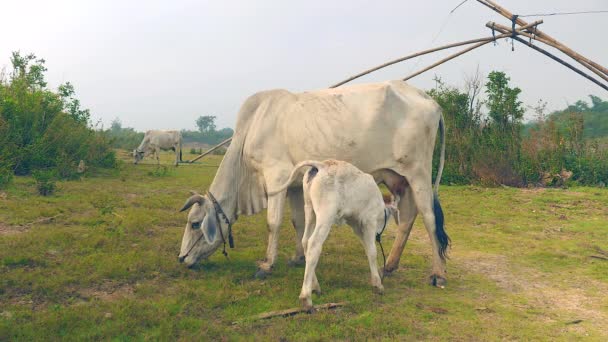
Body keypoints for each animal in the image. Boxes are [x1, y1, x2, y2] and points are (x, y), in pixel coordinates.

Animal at [178, 80, 448, 286]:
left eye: (195, 223)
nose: (182, 259)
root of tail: (427, 98)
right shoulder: (296, 185)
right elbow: (298, 222)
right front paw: (299, 257)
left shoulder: (276, 176)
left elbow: (273, 223)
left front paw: (267, 264)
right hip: (399, 178)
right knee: (408, 216)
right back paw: (390, 265)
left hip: (419, 173)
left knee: (429, 218)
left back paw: (437, 274)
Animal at [270, 159, 402, 312]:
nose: (378, 235)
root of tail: (321, 165)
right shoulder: (368, 221)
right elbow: (372, 252)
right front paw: (378, 284)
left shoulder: (358, 227)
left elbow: (368, 250)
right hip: (326, 214)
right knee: (314, 244)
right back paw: (306, 298)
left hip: (309, 209)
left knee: (305, 241)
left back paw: (315, 286)